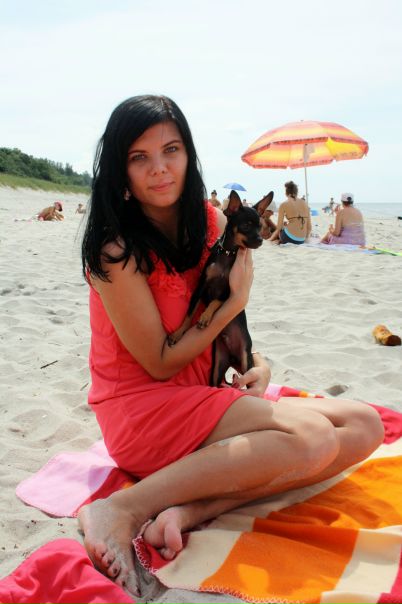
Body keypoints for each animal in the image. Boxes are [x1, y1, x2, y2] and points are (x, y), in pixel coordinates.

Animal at [168, 189, 273, 386]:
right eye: (246, 226)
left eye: (260, 226)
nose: (260, 240)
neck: (228, 254)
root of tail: (232, 358)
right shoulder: (201, 287)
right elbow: (189, 313)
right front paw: (178, 333)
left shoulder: (229, 291)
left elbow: (215, 301)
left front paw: (205, 317)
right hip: (217, 368)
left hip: (245, 358)